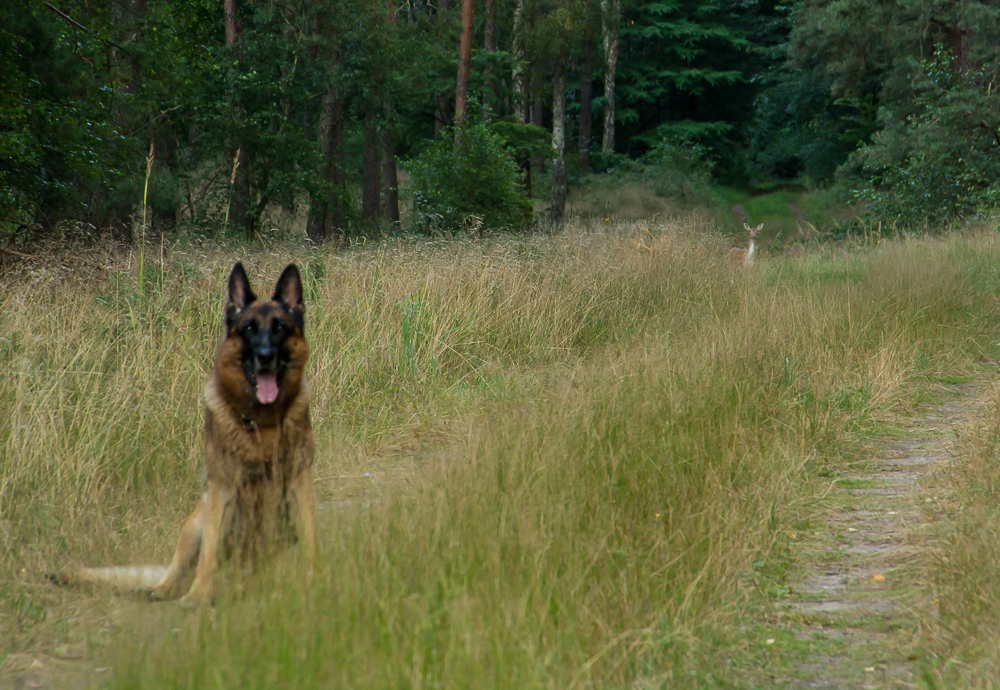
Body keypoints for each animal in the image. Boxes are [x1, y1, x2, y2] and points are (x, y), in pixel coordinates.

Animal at [55, 260, 312, 604]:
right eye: (249, 329)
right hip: (198, 519)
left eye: (280, 328)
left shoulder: (299, 483)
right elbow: (209, 556)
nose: (266, 356)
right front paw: (198, 597)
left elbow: (311, 540)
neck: (264, 421)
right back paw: (162, 590)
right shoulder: (222, 489)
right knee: (177, 571)